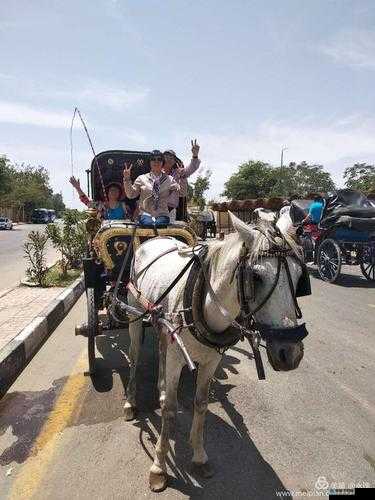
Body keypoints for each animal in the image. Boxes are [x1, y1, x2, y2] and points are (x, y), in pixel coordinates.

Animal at [126, 212, 308, 492]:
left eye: (300, 277)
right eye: (256, 277)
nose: (291, 353)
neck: (204, 304)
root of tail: (155, 235)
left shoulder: (212, 360)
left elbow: (201, 404)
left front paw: (199, 457)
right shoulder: (177, 357)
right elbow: (169, 410)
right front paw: (159, 466)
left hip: (162, 326)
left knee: (160, 349)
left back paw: (161, 387)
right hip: (134, 315)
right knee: (134, 356)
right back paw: (130, 401)